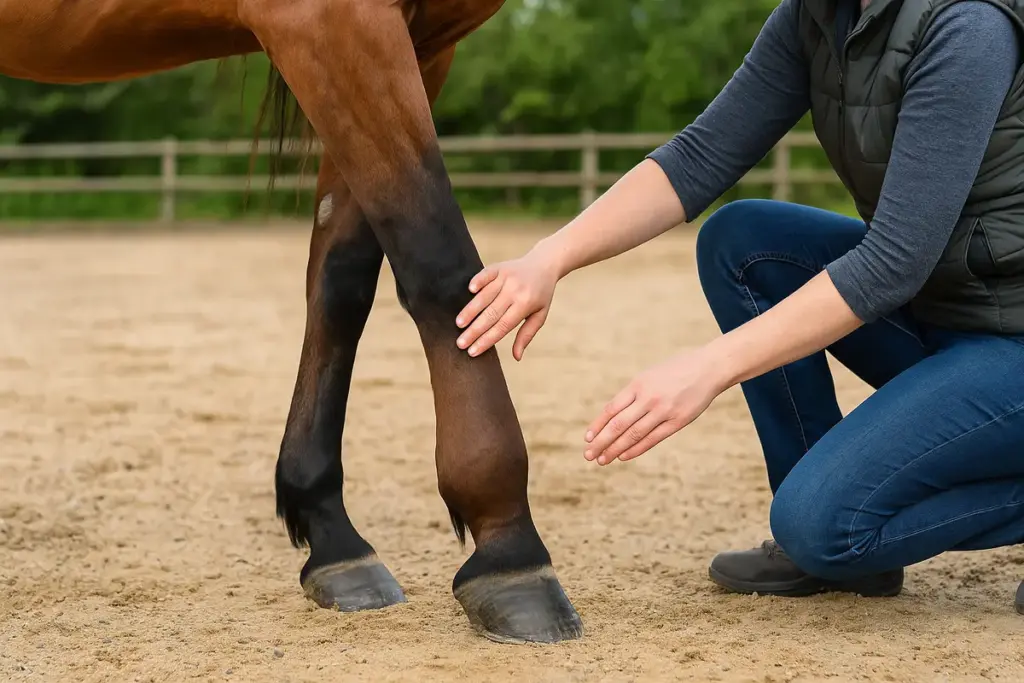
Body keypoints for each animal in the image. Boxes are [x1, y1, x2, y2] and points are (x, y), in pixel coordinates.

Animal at [0, 0, 583, 644]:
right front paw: (509, 547)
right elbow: (438, 258)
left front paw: (332, 534)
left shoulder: (420, 43)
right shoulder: (328, 22)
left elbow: (341, 281)